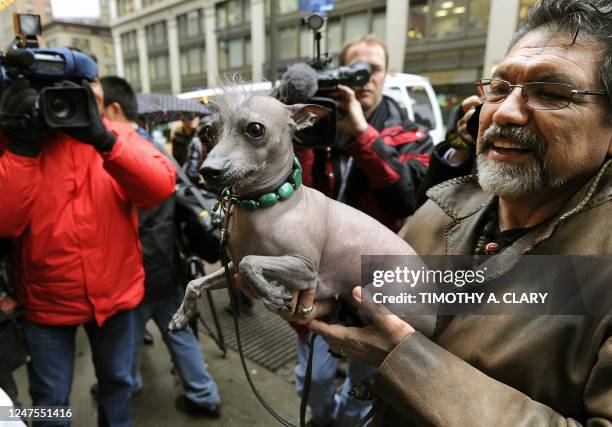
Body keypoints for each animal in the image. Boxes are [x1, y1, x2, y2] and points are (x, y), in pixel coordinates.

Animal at [167, 90, 436, 336]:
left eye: (255, 129)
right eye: (209, 132)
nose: (207, 171)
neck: (268, 204)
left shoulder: (306, 269)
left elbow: (250, 262)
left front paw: (272, 292)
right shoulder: (230, 268)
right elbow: (195, 283)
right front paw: (181, 315)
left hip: (376, 294)